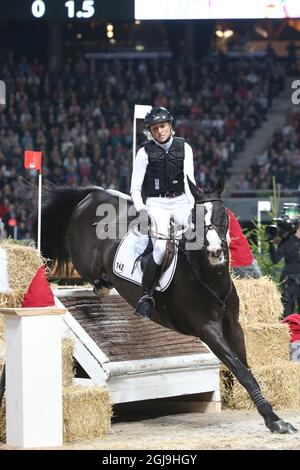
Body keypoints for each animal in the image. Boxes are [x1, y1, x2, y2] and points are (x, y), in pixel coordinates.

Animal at [37, 179, 296, 434]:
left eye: (223, 216)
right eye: (195, 218)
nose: (214, 252)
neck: (210, 277)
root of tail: (93, 195)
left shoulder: (233, 327)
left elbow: (246, 368)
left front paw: (269, 414)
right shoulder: (208, 329)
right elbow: (241, 370)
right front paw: (274, 421)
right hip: (84, 258)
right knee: (86, 270)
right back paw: (102, 285)